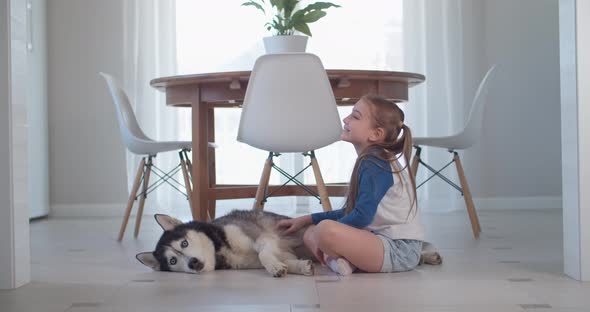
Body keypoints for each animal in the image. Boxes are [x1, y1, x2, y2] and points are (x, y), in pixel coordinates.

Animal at [137, 210, 316, 278]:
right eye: (173, 261)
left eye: (184, 243)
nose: (192, 263)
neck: (220, 249)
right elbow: (286, 260)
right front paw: (300, 267)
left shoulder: (263, 237)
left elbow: (263, 254)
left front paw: (274, 266)